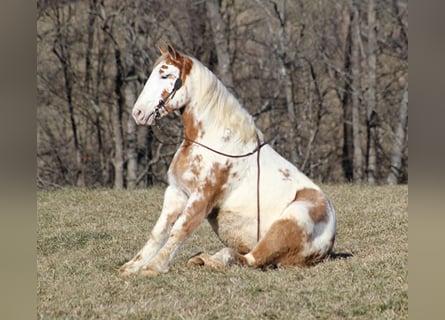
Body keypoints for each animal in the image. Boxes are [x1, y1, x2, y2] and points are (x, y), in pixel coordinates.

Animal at [119, 43, 334, 276]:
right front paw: (132, 266)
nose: (138, 113)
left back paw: (211, 259)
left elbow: (180, 229)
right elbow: (159, 232)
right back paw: (201, 258)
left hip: (288, 222)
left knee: (249, 259)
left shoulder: (202, 198)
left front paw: (153, 267)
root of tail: (328, 242)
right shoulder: (176, 192)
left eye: (165, 75)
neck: (214, 139)